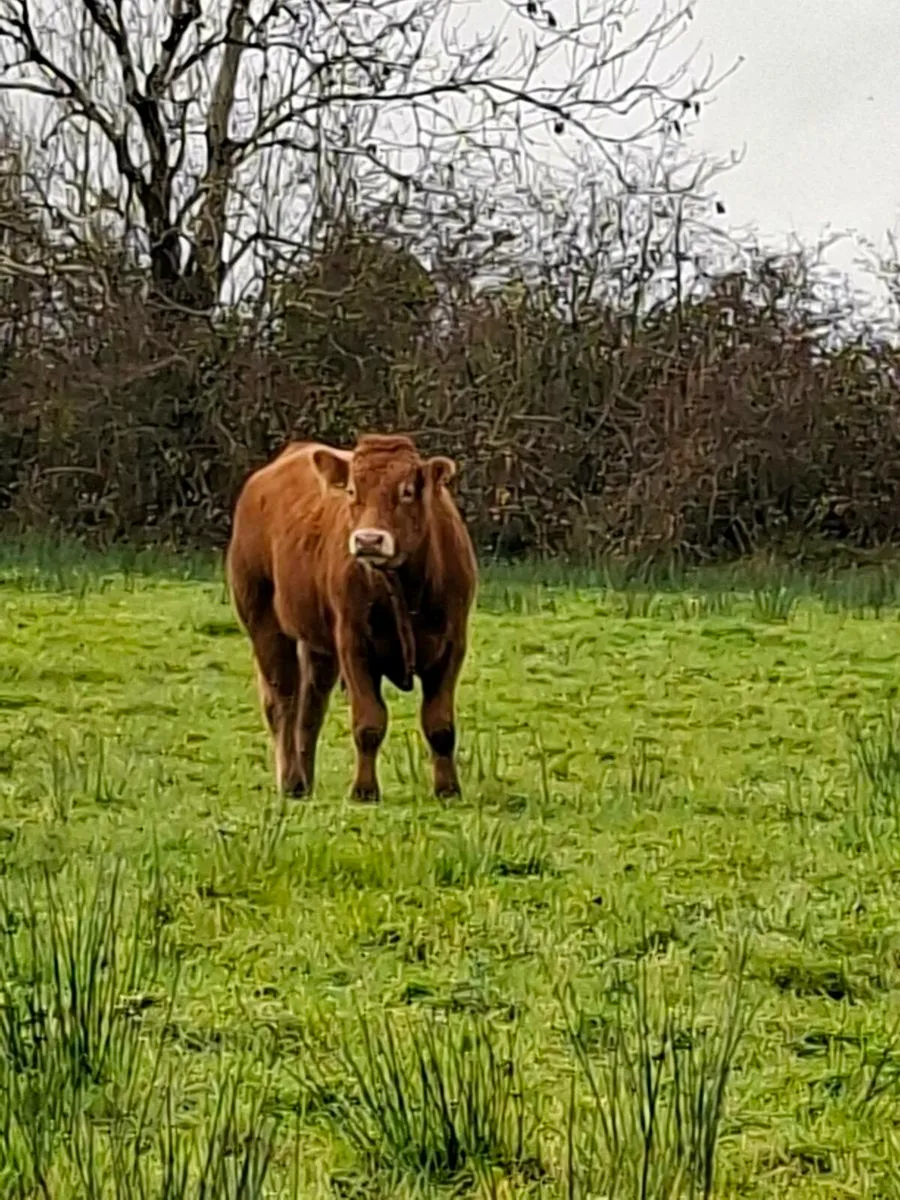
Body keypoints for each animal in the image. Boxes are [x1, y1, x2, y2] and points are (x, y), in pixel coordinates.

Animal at [225, 433, 478, 803]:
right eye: (352, 491)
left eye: (407, 491)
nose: (368, 540)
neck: (405, 586)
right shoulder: (353, 643)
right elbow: (369, 721)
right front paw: (364, 790)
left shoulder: (451, 645)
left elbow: (440, 723)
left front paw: (448, 789)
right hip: (263, 621)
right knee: (283, 701)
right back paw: (291, 781)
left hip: (317, 645)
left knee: (310, 709)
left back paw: (306, 780)